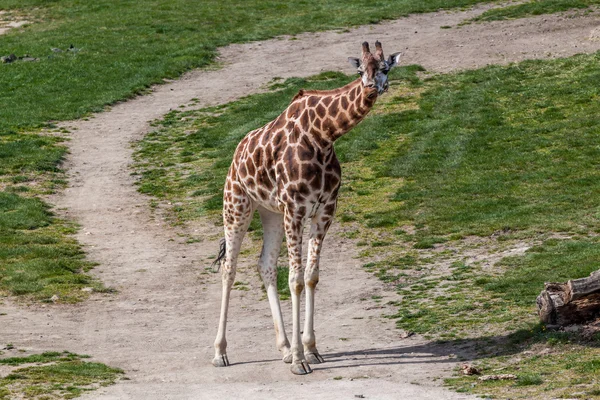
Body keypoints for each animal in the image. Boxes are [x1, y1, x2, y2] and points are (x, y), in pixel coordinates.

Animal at [213, 41, 400, 376]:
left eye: (384, 68)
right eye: (359, 71)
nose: (370, 88)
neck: (323, 136)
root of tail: (237, 153)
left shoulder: (325, 208)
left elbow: (311, 276)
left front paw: (310, 350)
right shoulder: (296, 208)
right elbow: (295, 280)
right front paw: (301, 361)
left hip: (270, 212)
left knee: (265, 264)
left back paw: (285, 347)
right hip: (236, 204)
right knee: (229, 268)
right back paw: (221, 352)